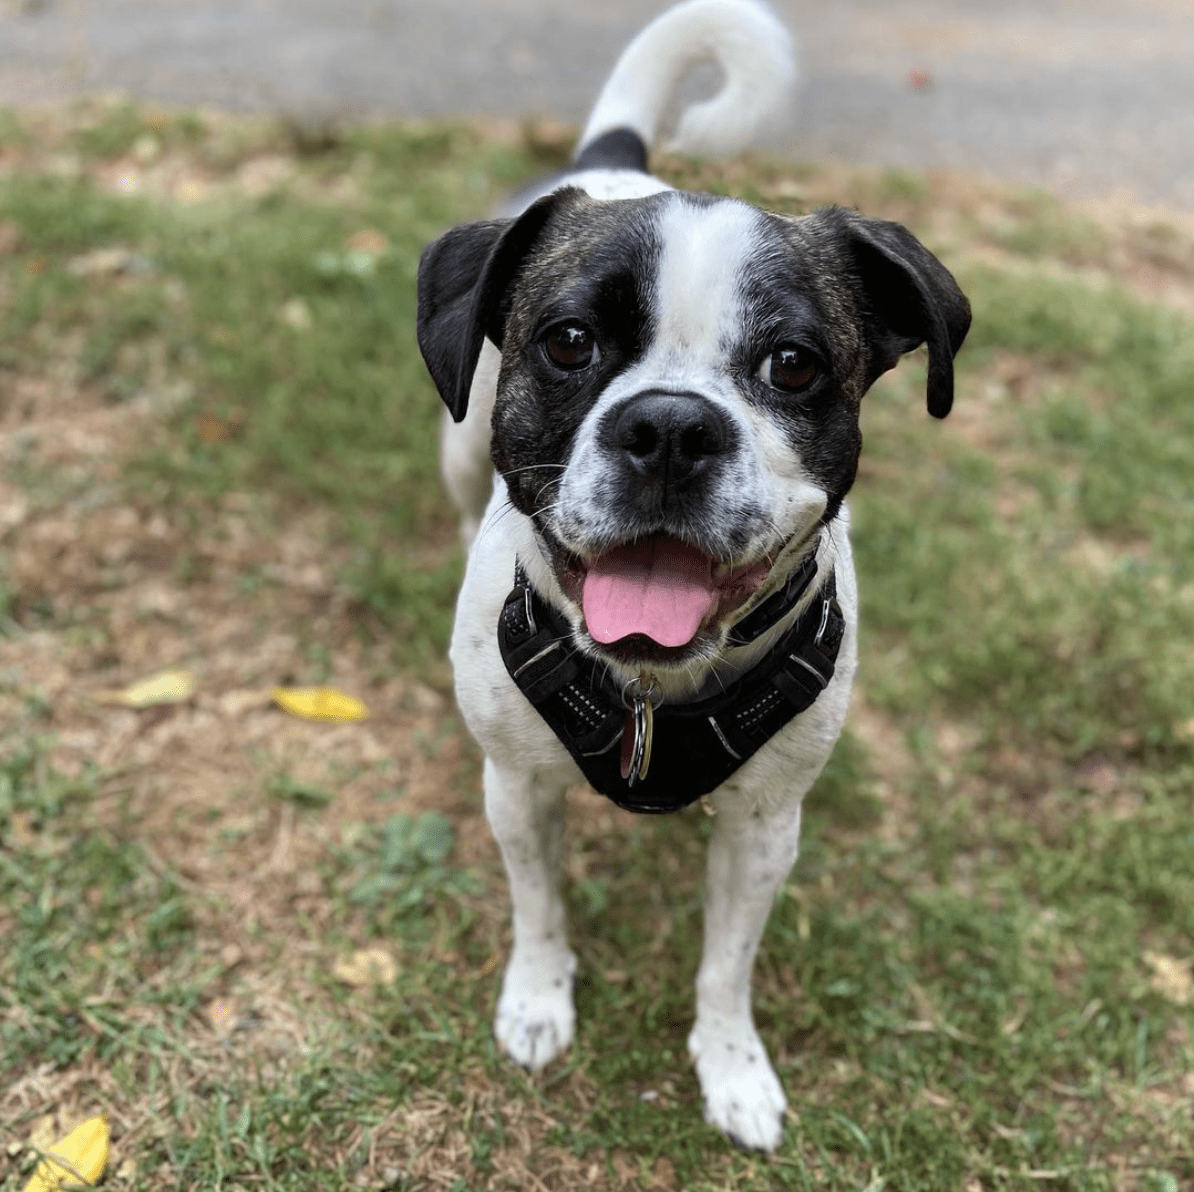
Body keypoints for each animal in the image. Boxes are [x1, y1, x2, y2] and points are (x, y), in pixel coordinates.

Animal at [415, 0, 964, 1156]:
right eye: (569, 341)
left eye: (795, 363)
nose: (669, 426)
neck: (651, 691)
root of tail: (609, 160)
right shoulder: (519, 788)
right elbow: (539, 907)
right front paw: (538, 997)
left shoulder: (764, 829)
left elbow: (727, 965)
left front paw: (731, 1064)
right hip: (454, 451)